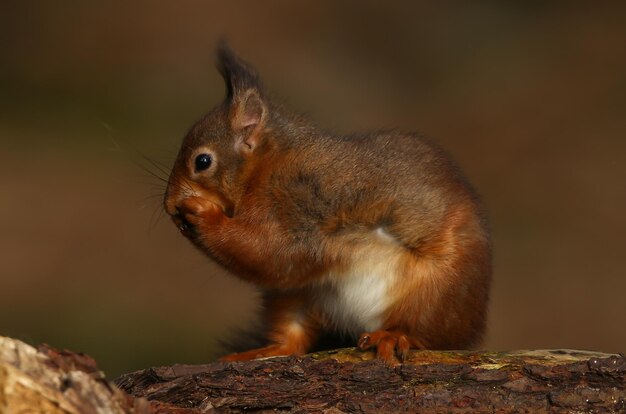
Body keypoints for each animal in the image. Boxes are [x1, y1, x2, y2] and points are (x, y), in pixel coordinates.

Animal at [163, 45, 490, 362]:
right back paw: (264, 351)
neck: (267, 166)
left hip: (437, 292)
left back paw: (394, 335)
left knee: (423, 329)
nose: (169, 205)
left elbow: (273, 252)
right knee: (292, 337)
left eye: (202, 161)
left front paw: (201, 213)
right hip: (298, 297)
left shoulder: (303, 202)